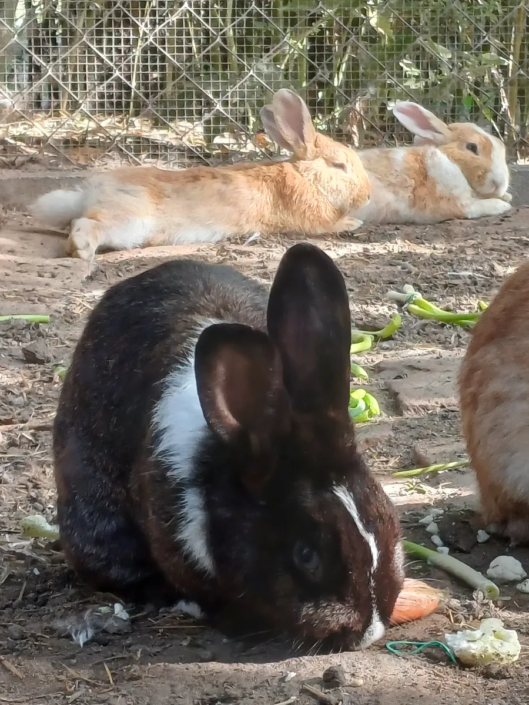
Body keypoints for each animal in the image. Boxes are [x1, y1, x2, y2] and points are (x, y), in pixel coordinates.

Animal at [29, 90, 370, 261]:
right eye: (339, 165)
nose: (367, 196)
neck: (305, 175)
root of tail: (89, 191)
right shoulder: (311, 219)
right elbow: (328, 225)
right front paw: (354, 223)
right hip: (129, 220)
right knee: (86, 225)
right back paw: (82, 249)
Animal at [339, 102, 512, 226]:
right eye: (472, 147)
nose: (500, 183)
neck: (451, 161)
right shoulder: (451, 203)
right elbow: (474, 208)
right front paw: (502, 205)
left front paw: (506, 197)